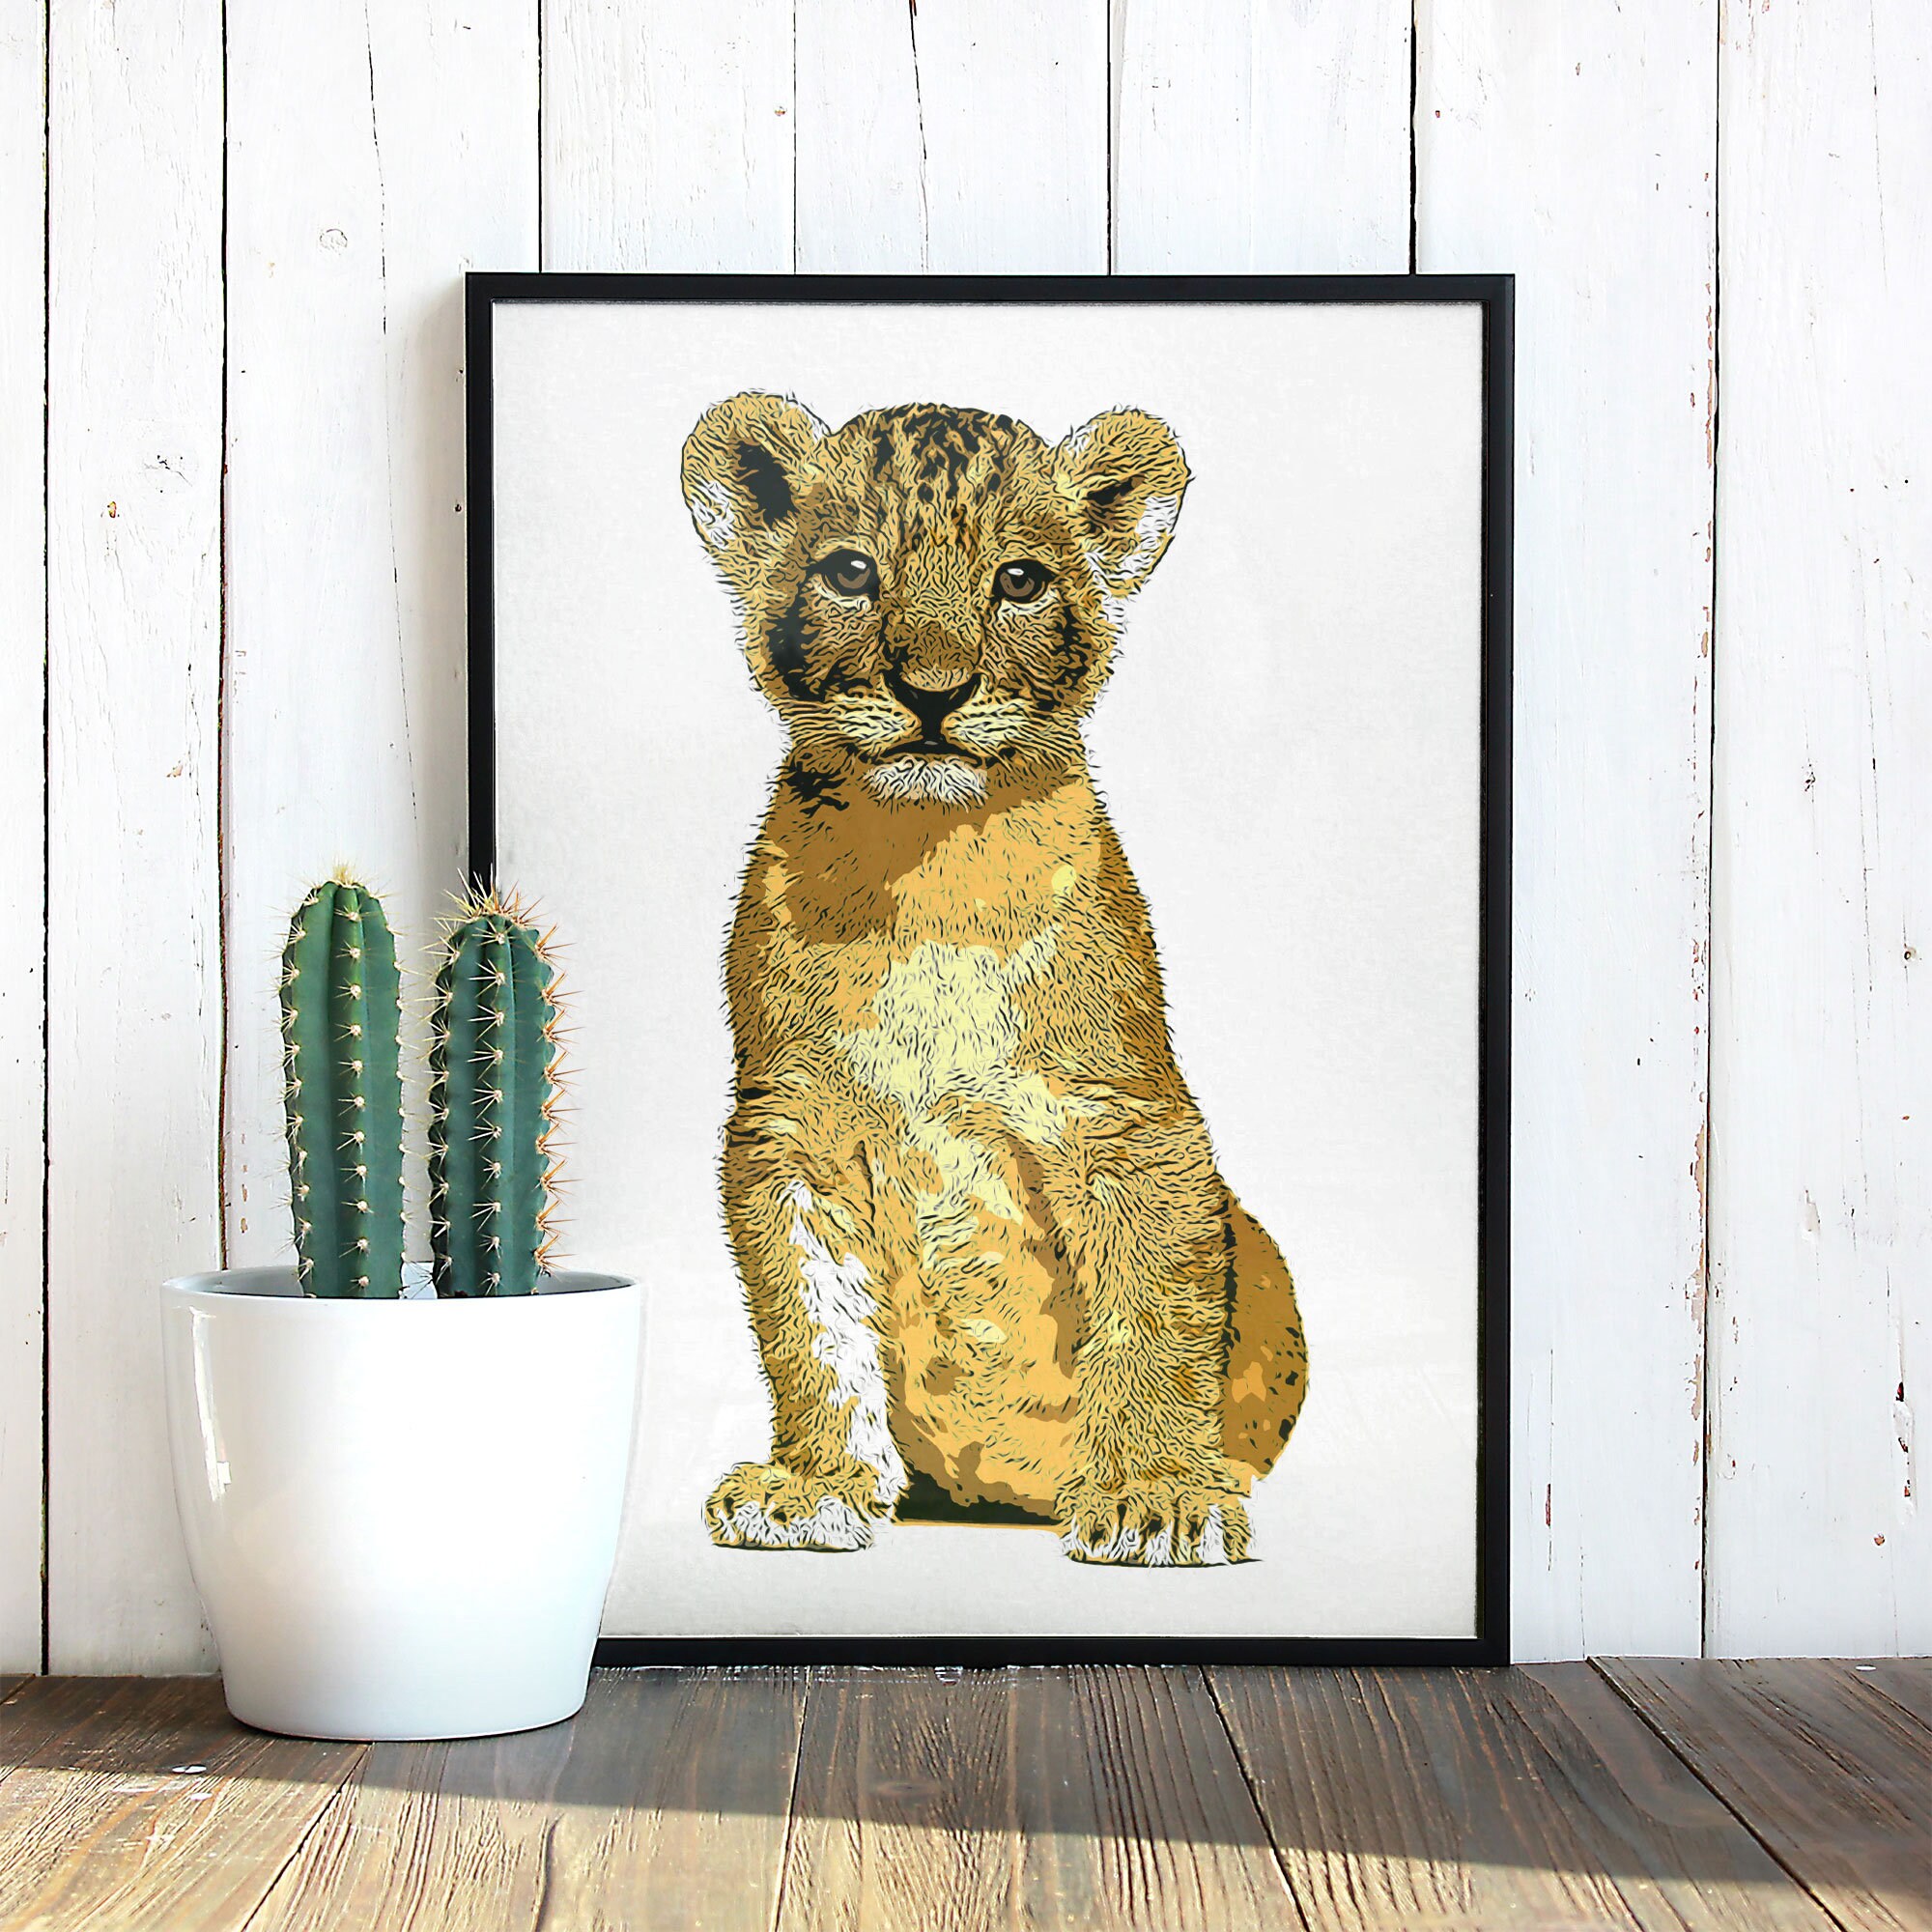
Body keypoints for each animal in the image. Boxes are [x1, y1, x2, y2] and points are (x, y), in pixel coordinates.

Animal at [680, 394, 1307, 1566]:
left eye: (1018, 579)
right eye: (849, 571)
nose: (932, 692)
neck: (928, 871)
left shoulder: (1126, 1120)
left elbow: (1153, 1311)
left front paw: (1155, 1494)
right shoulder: (789, 1127)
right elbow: (810, 1325)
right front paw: (814, 1486)